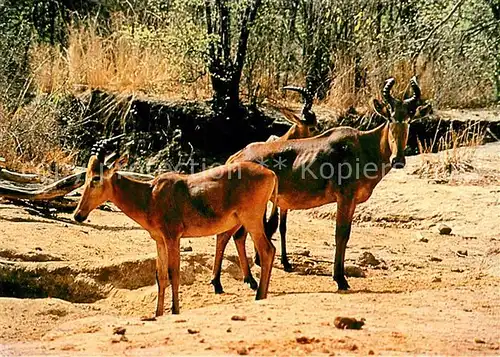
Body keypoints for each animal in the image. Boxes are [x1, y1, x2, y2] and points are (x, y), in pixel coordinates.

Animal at [73, 139, 282, 314]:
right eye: (86, 176)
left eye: (96, 178)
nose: (78, 215)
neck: (151, 194)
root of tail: (271, 173)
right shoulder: (159, 241)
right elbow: (161, 276)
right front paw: (157, 314)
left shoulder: (173, 238)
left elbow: (174, 273)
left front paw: (175, 311)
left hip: (252, 221)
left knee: (267, 250)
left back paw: (259, 296)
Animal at [213, 76, 432, 290]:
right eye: (390, 117)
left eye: (409, 118)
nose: (398, 160)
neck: (361, 145)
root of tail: (235, 157)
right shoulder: (344, 198)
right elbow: (340, 234)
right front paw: (340, 279)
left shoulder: (351, 201)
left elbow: (346, 234)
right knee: (233, 235)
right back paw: (233, 281)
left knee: (236, 236)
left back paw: (246, 280)